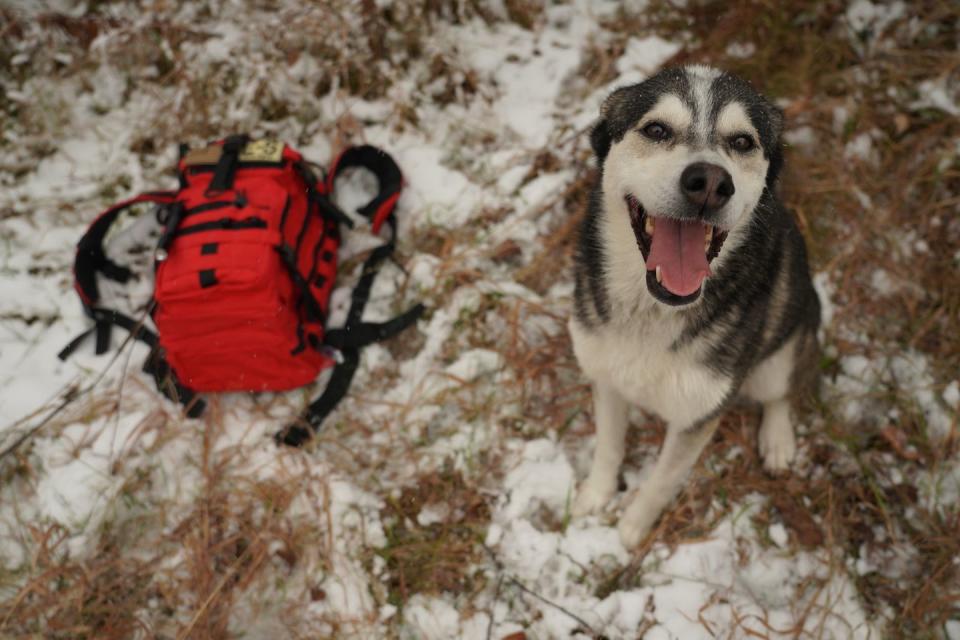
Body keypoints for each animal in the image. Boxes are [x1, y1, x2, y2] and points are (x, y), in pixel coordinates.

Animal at [568, 63, 820, 544]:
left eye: (742, 142)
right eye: (656, 129)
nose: (710, 183)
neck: (654, 314)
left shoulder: (697, 415)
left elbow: (662, 481)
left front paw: (629, 533)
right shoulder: (605, 376)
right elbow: (609, 445)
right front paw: (596, 495)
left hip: (783, 345)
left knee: (780, 392)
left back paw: (778, 440)